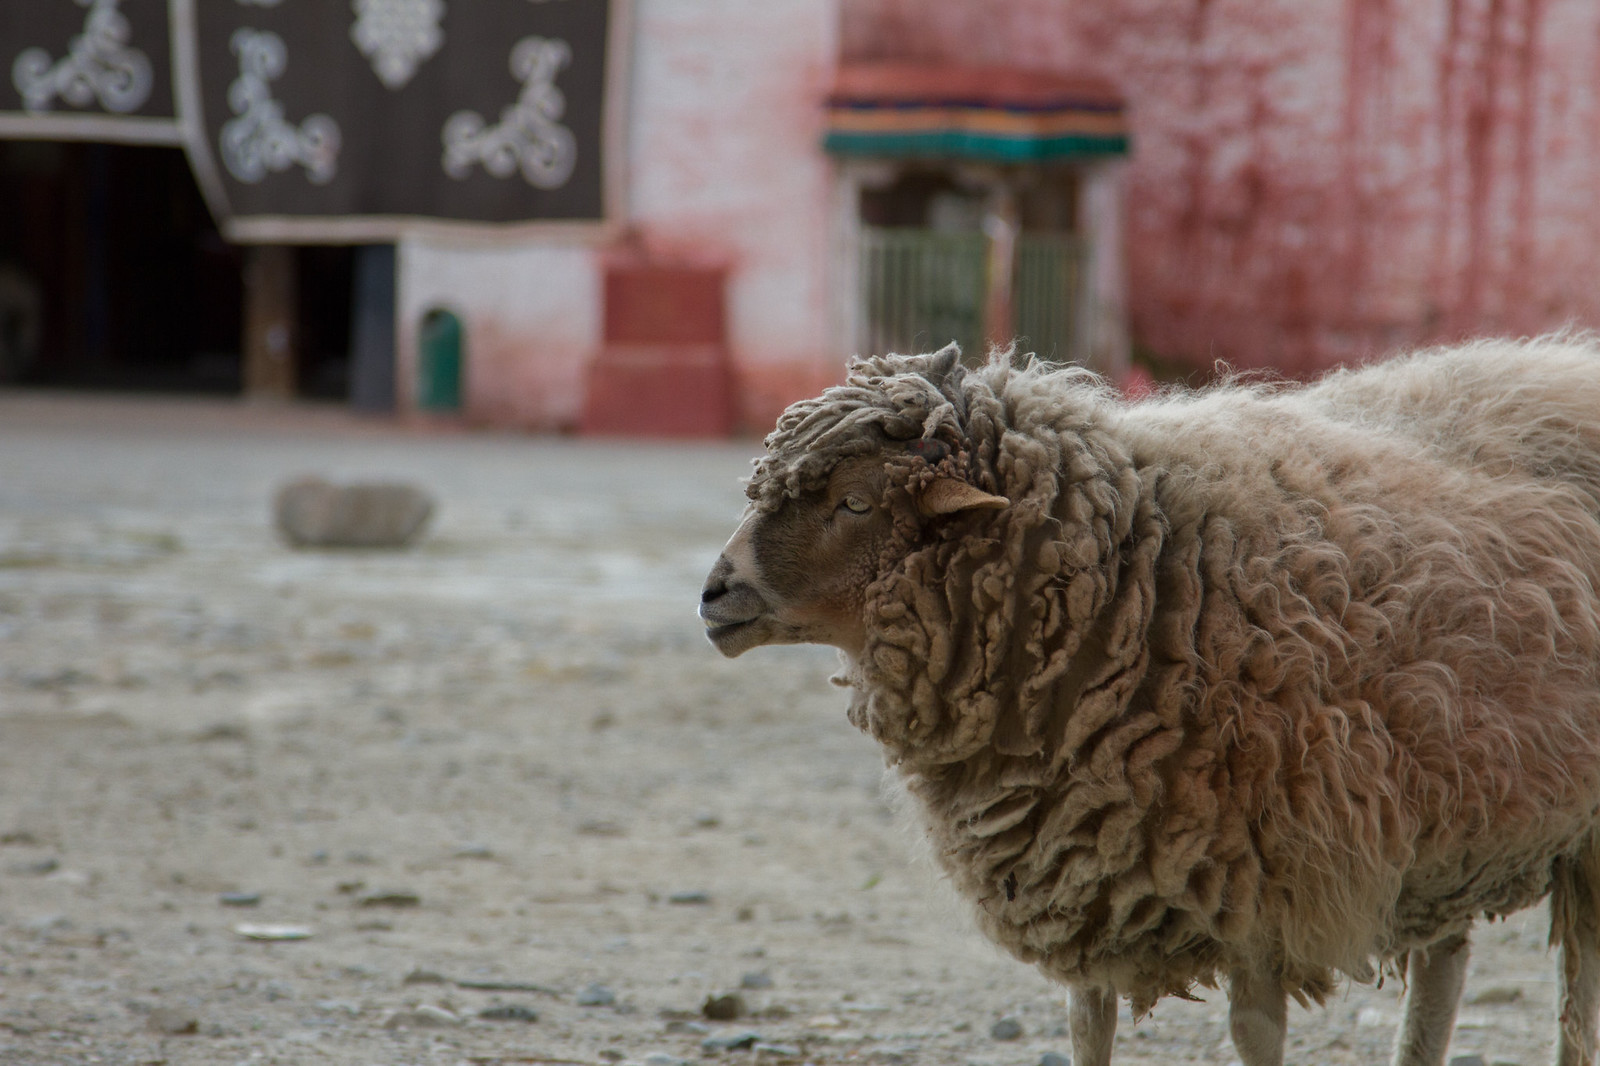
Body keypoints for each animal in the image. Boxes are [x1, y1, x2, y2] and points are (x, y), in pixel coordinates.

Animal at [698, 336, 1600, 1066]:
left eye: (854, 502)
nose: (713, 594)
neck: (1138, 576)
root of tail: (1568, 364)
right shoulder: (1079, 866)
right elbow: (1086, 1026)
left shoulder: (1268, 886)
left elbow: (1254, 1033)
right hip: (1450, 818)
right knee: (1444, 967)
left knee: (1573, 991)